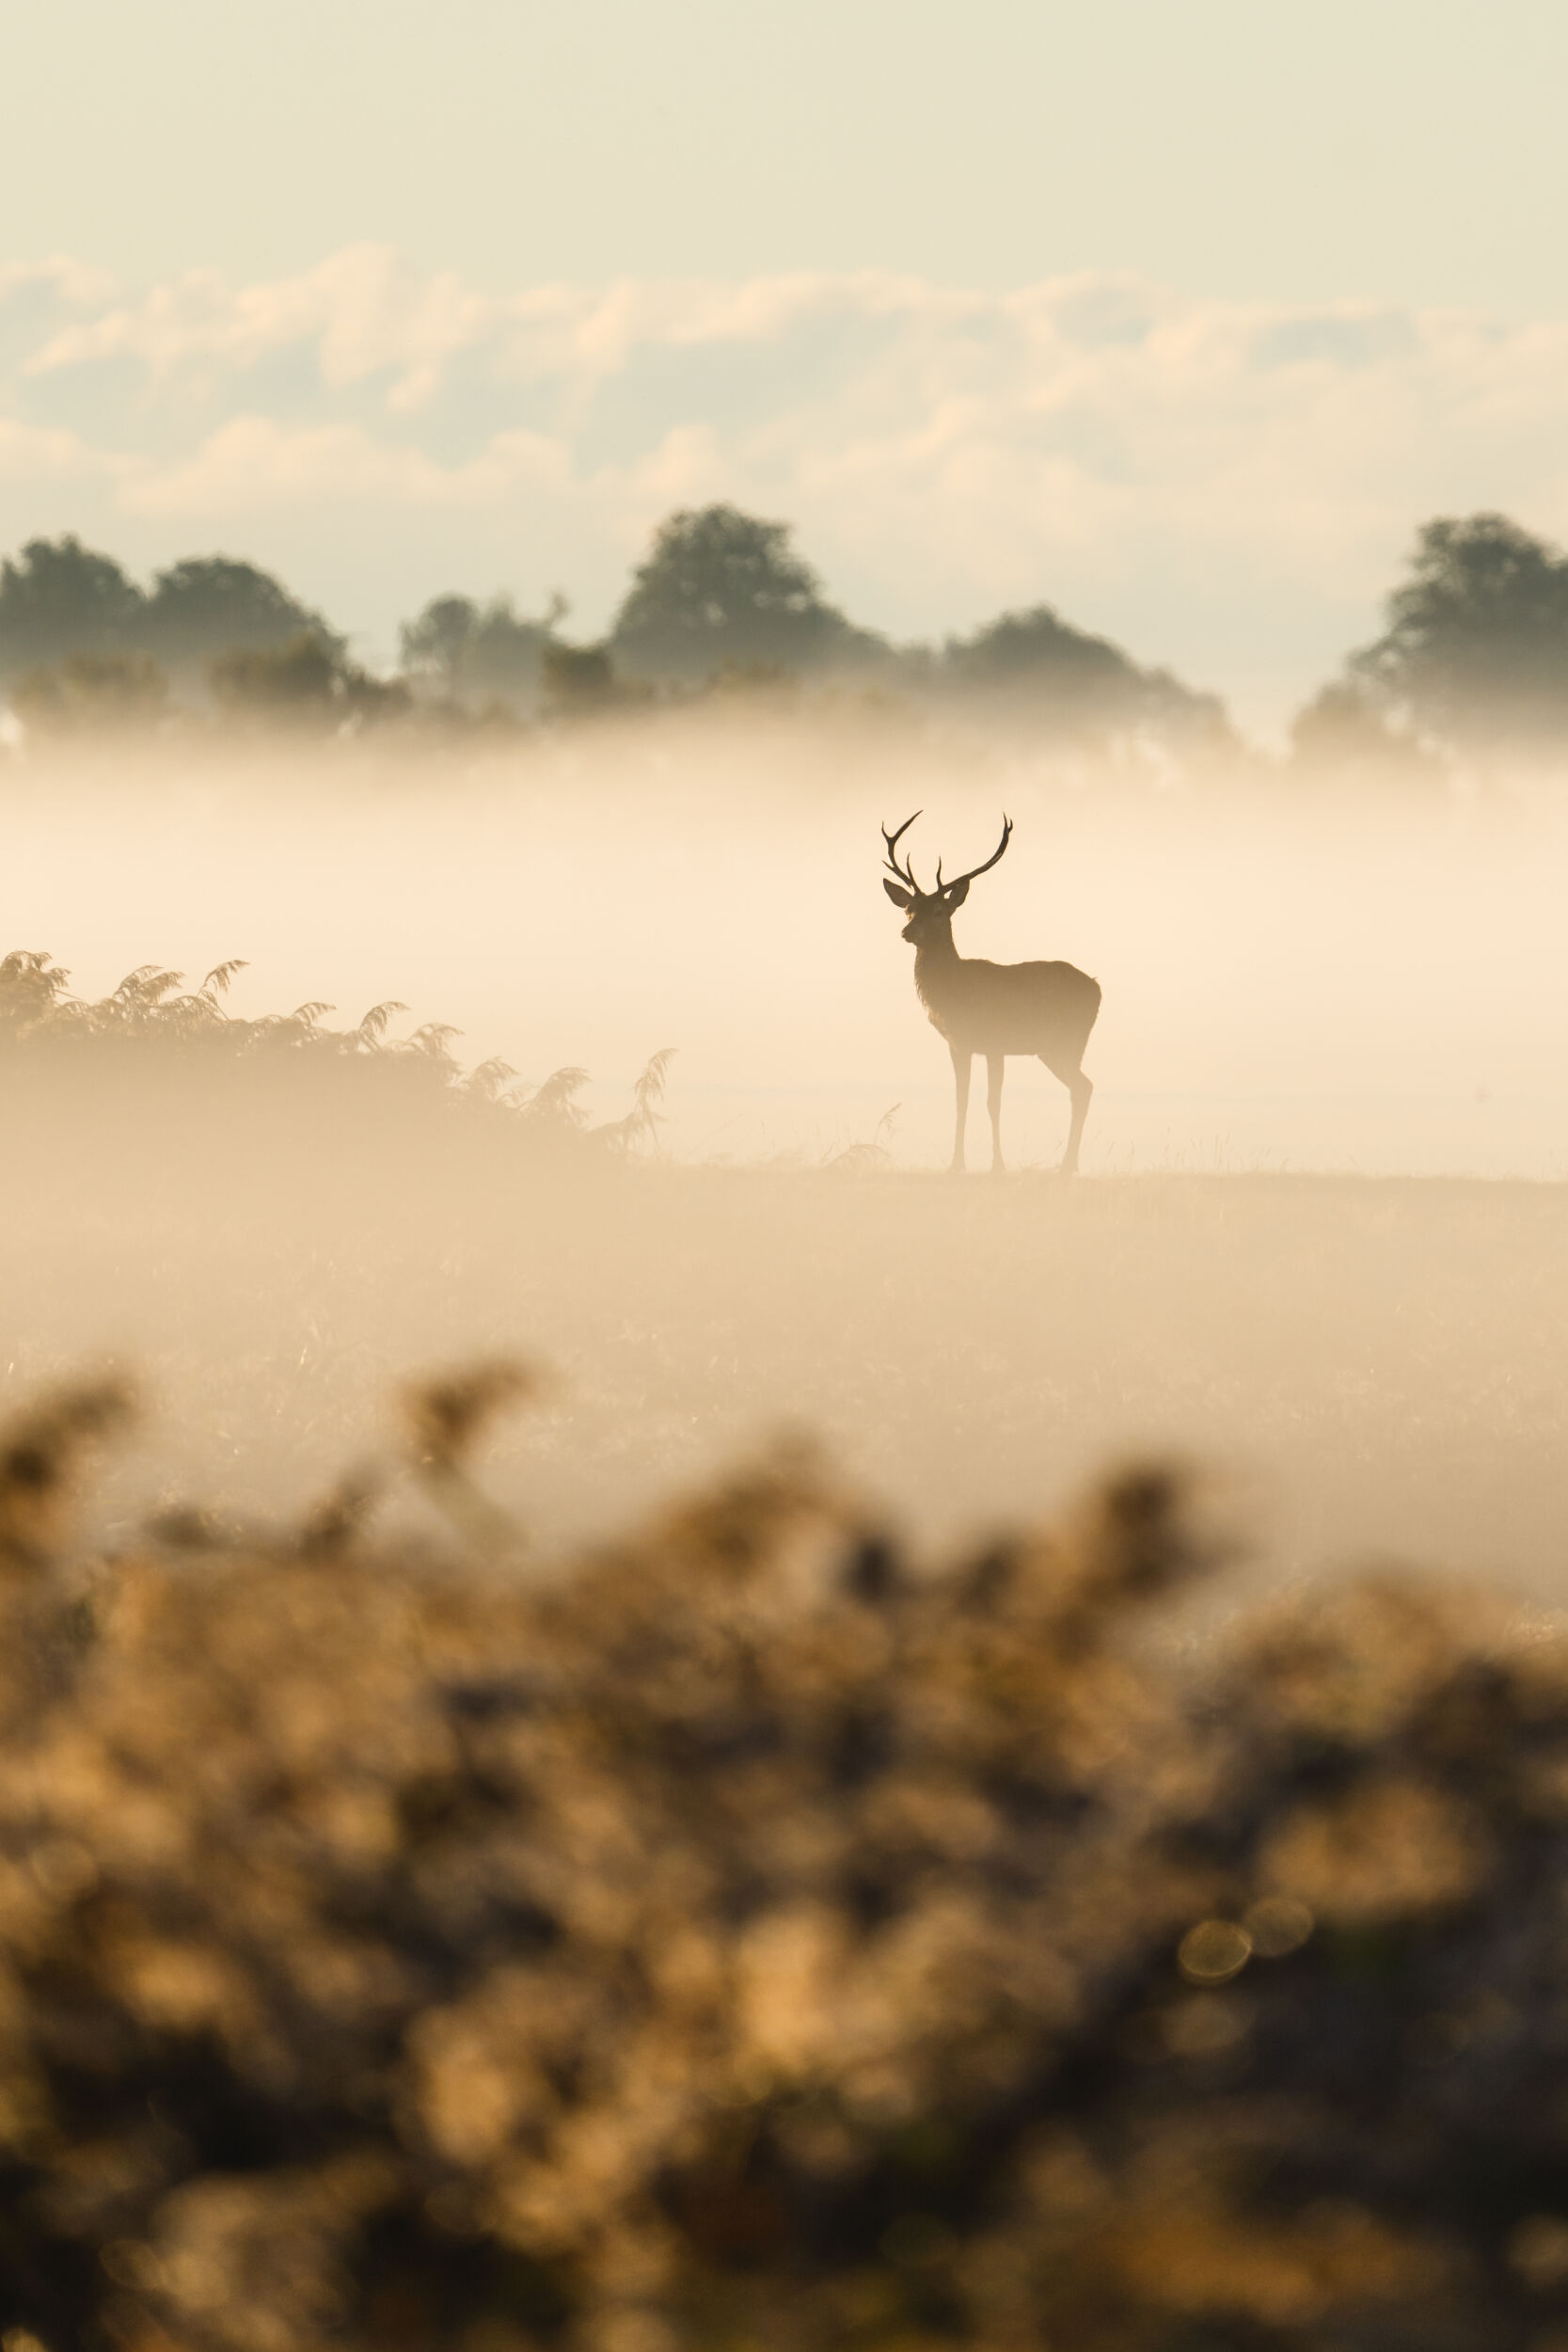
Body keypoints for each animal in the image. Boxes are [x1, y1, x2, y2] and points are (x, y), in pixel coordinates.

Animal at [881, 812, 1100, 1176]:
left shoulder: (996, 1042)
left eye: (939, 911)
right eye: (908, 908)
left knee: (1084, 1087)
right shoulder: (959, 1044)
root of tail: (1097, 987)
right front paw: (956, 1164)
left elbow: (992, 1102)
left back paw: (1066, 1166)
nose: (907, 931)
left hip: (1066, 1042)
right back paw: (1068, 1165)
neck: (956, 992)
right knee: (1082, 1087)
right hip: (1055, 1048)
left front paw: (998, 1165)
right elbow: (962, 1100)